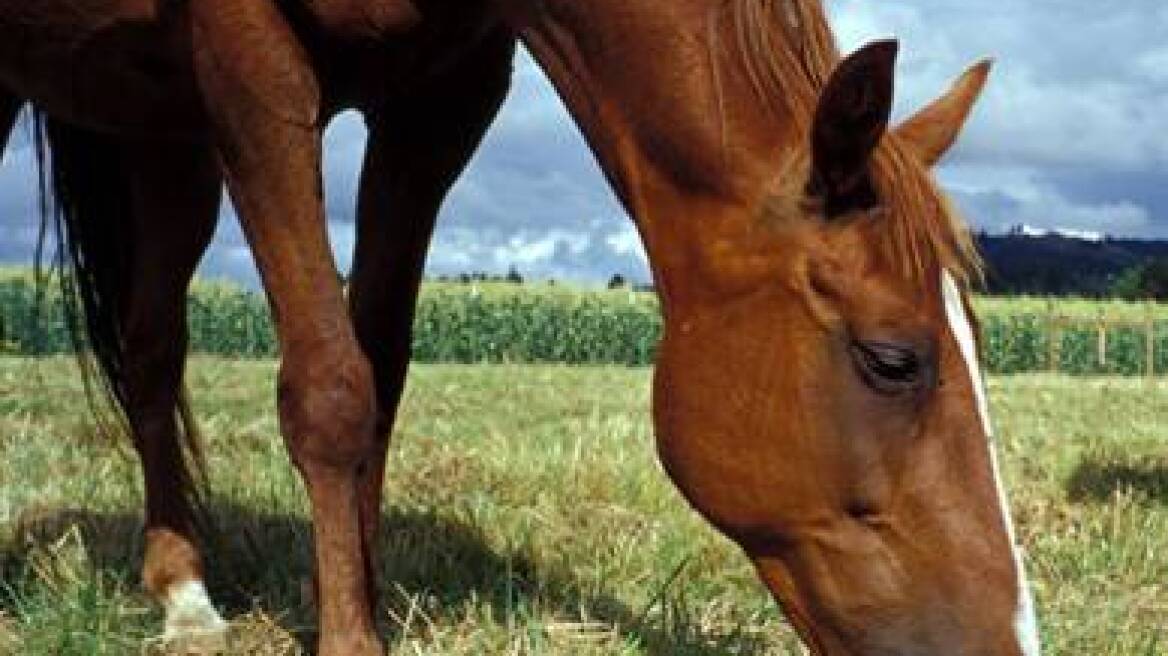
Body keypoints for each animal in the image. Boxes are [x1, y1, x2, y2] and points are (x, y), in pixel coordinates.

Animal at [0, 1, 1041, 653]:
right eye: (892, 360)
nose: (1013, 642)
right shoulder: (248, 61)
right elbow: (331, 388)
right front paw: (349, 634)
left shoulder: (442, 98)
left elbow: (378, 372)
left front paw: (357, 598)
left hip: (159, 134)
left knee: (149, 351)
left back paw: (182, 590)